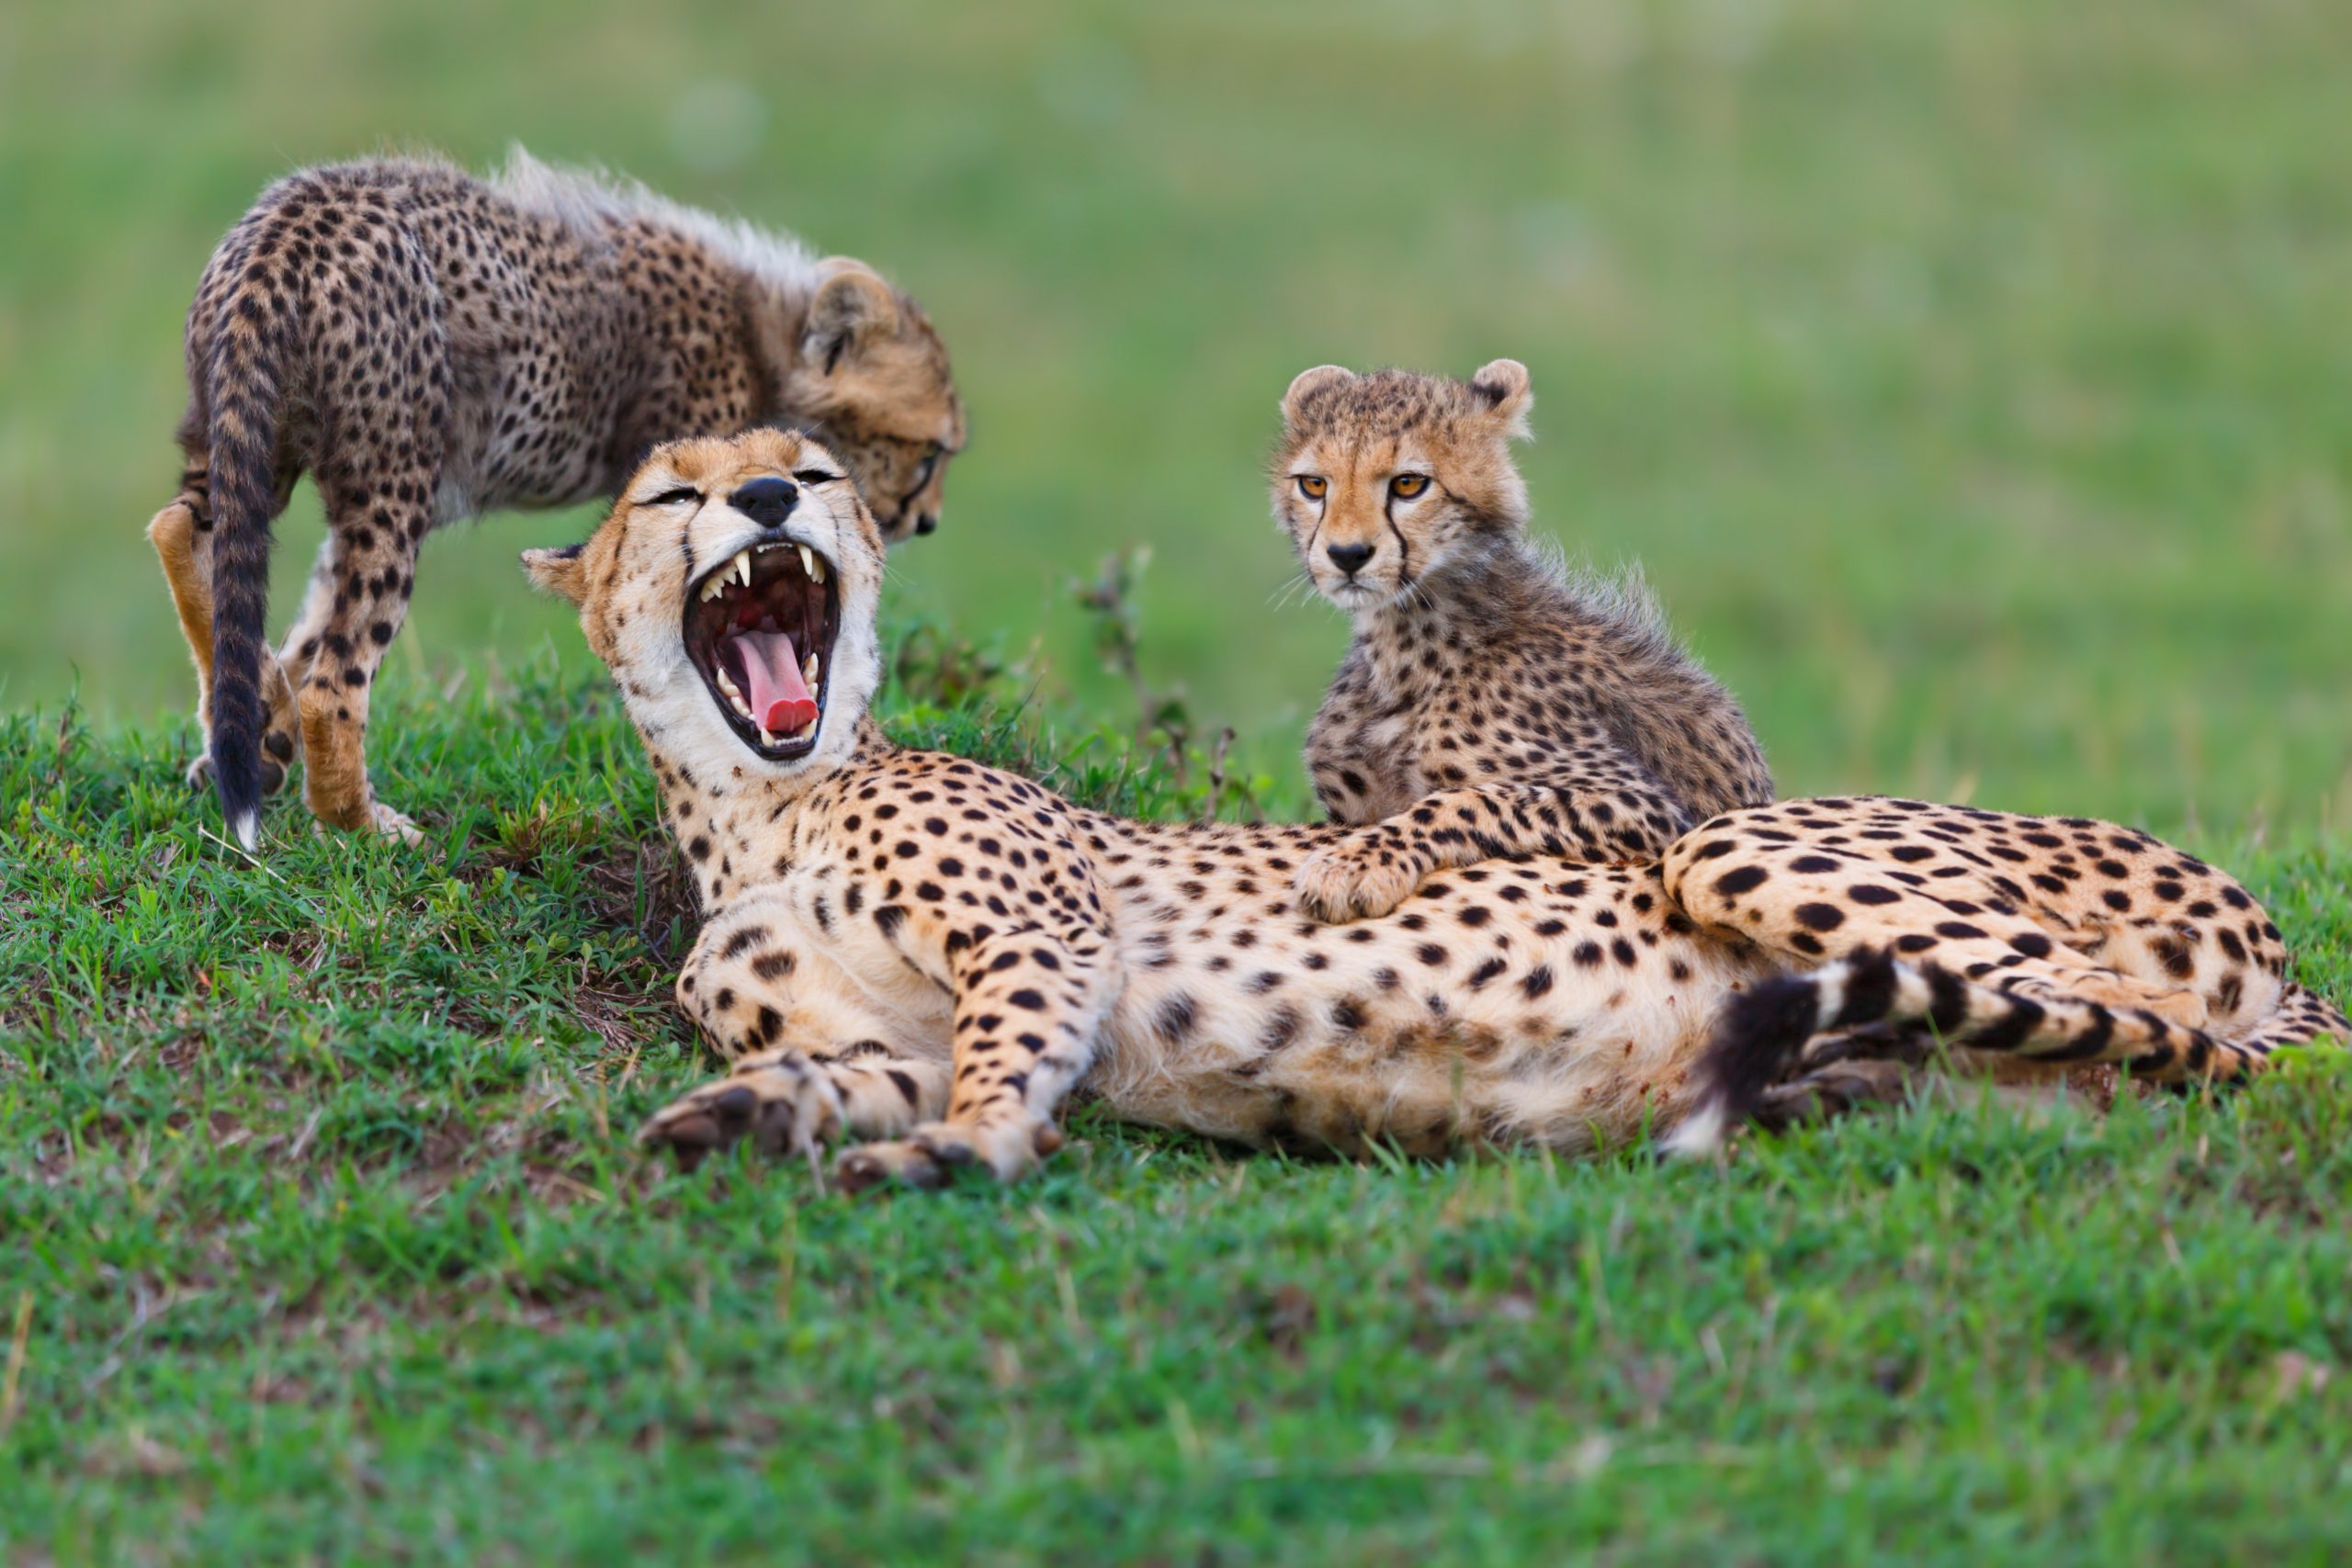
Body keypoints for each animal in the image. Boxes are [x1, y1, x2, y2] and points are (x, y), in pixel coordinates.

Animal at [529, 430, 2333, 1189]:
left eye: (813, 469)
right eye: (676, 489)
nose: (770, 496)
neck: (762, 803)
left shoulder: (1045, 937)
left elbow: (1004, 1061)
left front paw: (964, 1150)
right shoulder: (873, 1026)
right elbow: (841, 1072)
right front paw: (742, 1117)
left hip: (1743, 840)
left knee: (2141, 1028)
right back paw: (1832, 1081)